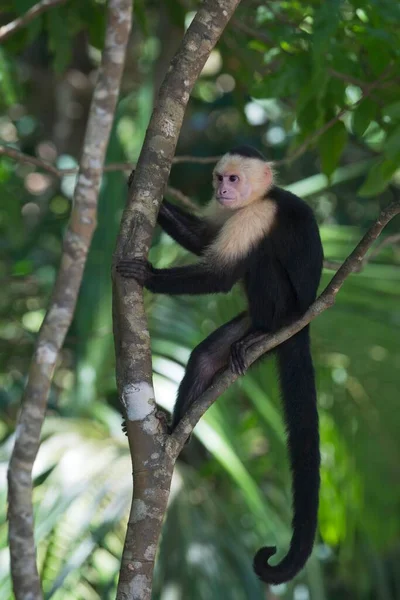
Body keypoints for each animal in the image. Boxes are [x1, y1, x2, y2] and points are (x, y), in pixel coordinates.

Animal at [116, 146, 324, 584]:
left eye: (234, 179)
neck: (256, 198)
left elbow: (220, 275)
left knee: (260, 262)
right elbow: (203, 239)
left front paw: (147, 275)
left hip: (286, 313)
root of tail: (303, 323)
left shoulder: (256, 215)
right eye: (219, 178)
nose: (222, 190)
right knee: (206, 357)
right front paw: (137, 183)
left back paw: (262, 332)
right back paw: (174, 431)